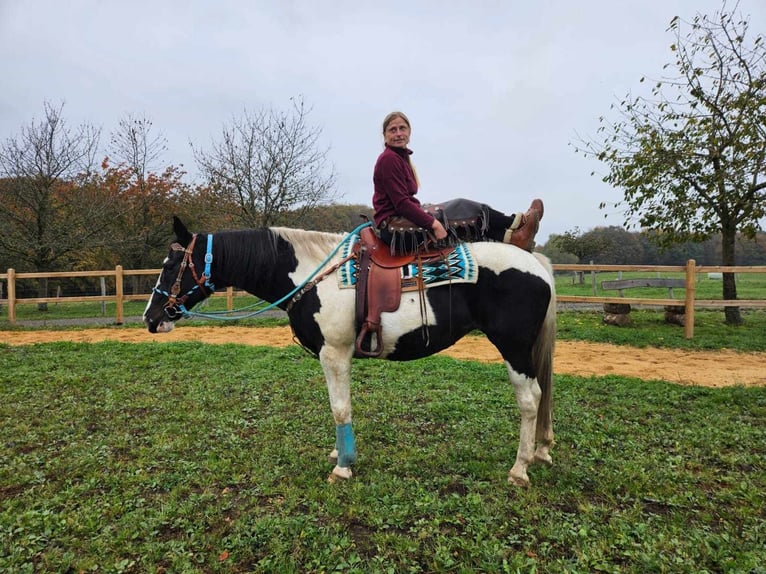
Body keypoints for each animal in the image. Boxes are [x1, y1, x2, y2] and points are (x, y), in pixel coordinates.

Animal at [144, 218, 560, 488]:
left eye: (171, 265)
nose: (151, 317)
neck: (312, 275)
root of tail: (535, 263)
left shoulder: (335, 354)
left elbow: (340, 408)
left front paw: (343, 466)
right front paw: (337, 454)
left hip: (514, 348)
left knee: (530, 400)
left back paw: (519, 469)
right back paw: (540, 451)